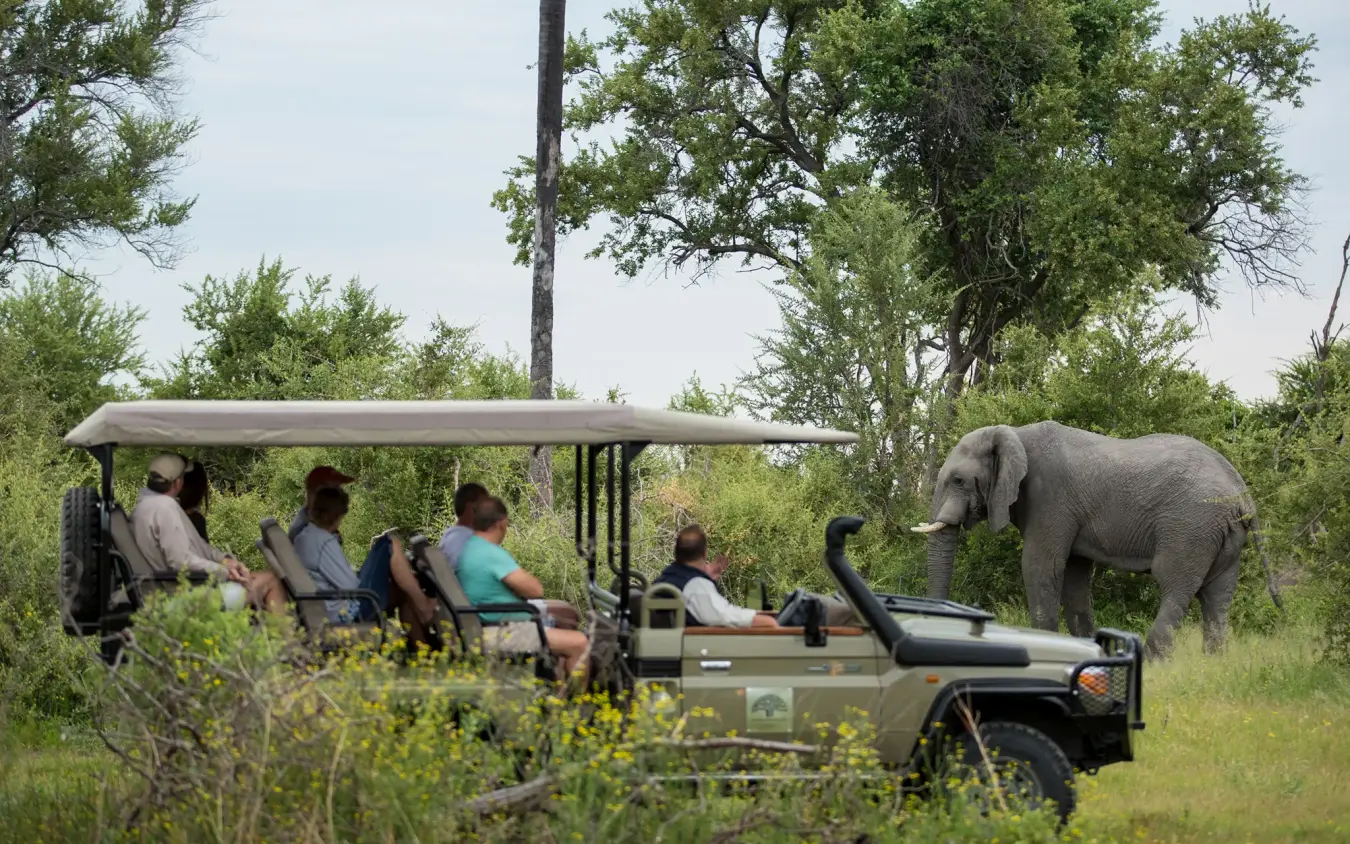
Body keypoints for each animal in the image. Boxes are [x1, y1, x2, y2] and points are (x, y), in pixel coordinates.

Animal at [911, 421, 1280, 660]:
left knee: (1176, 584)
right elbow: (1075, 576)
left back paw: (1154, 662)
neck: (1013, 433)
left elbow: (1040, 567)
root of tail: (1242, 492)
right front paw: (1086, 650)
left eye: (958, 481)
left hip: (1191, 526)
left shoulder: (1050, 499)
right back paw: (1213, 662)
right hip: (1224, 533)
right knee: (1218, 594)